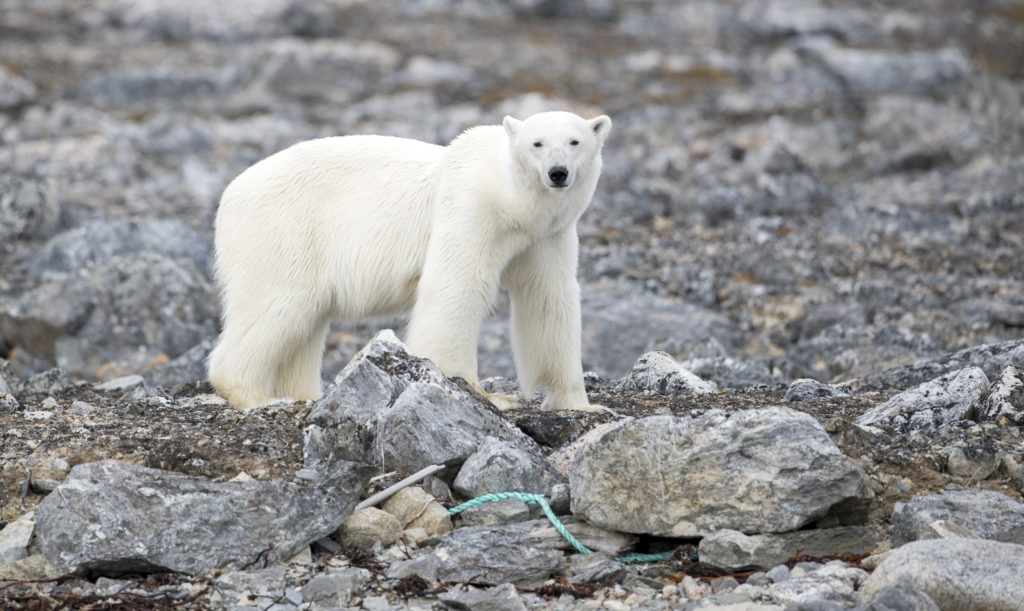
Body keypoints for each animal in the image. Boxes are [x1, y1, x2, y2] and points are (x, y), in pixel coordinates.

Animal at [205, 112, 606, 411]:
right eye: (537, 143)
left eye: (575, 141)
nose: (558, 172)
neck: (509, 200)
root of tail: (229, 195)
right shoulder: (470, 210)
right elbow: (457, 285)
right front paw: (483, 393)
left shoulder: (546, 236)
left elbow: (548, 297)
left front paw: (579, 403)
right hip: (282, 233)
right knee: (278, 304)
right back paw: (255, 396)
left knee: (307, 321)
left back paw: (303, 393)